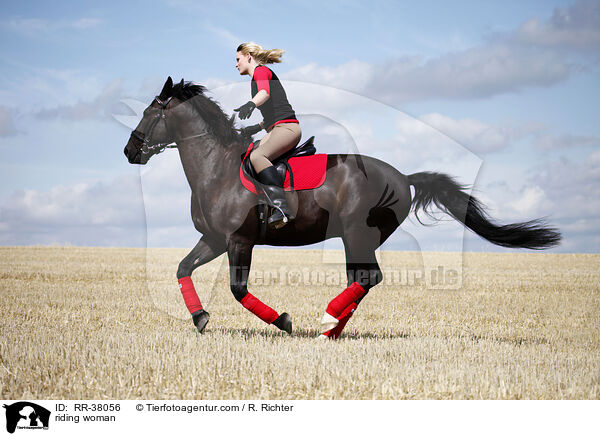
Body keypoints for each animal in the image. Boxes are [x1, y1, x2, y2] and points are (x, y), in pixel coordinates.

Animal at [123, 77, 564, 338]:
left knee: (368, 277)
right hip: (356, 238)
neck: (217, 168)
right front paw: (199, 318)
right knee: (363, 279)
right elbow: (182, 268)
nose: (130, 151)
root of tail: (404, 177)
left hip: (357, 232)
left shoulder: (238, 241)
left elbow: (238, 289)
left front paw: (283, 321)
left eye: (149, 111)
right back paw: (332, 329)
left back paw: (327, 320)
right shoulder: (214, 239)